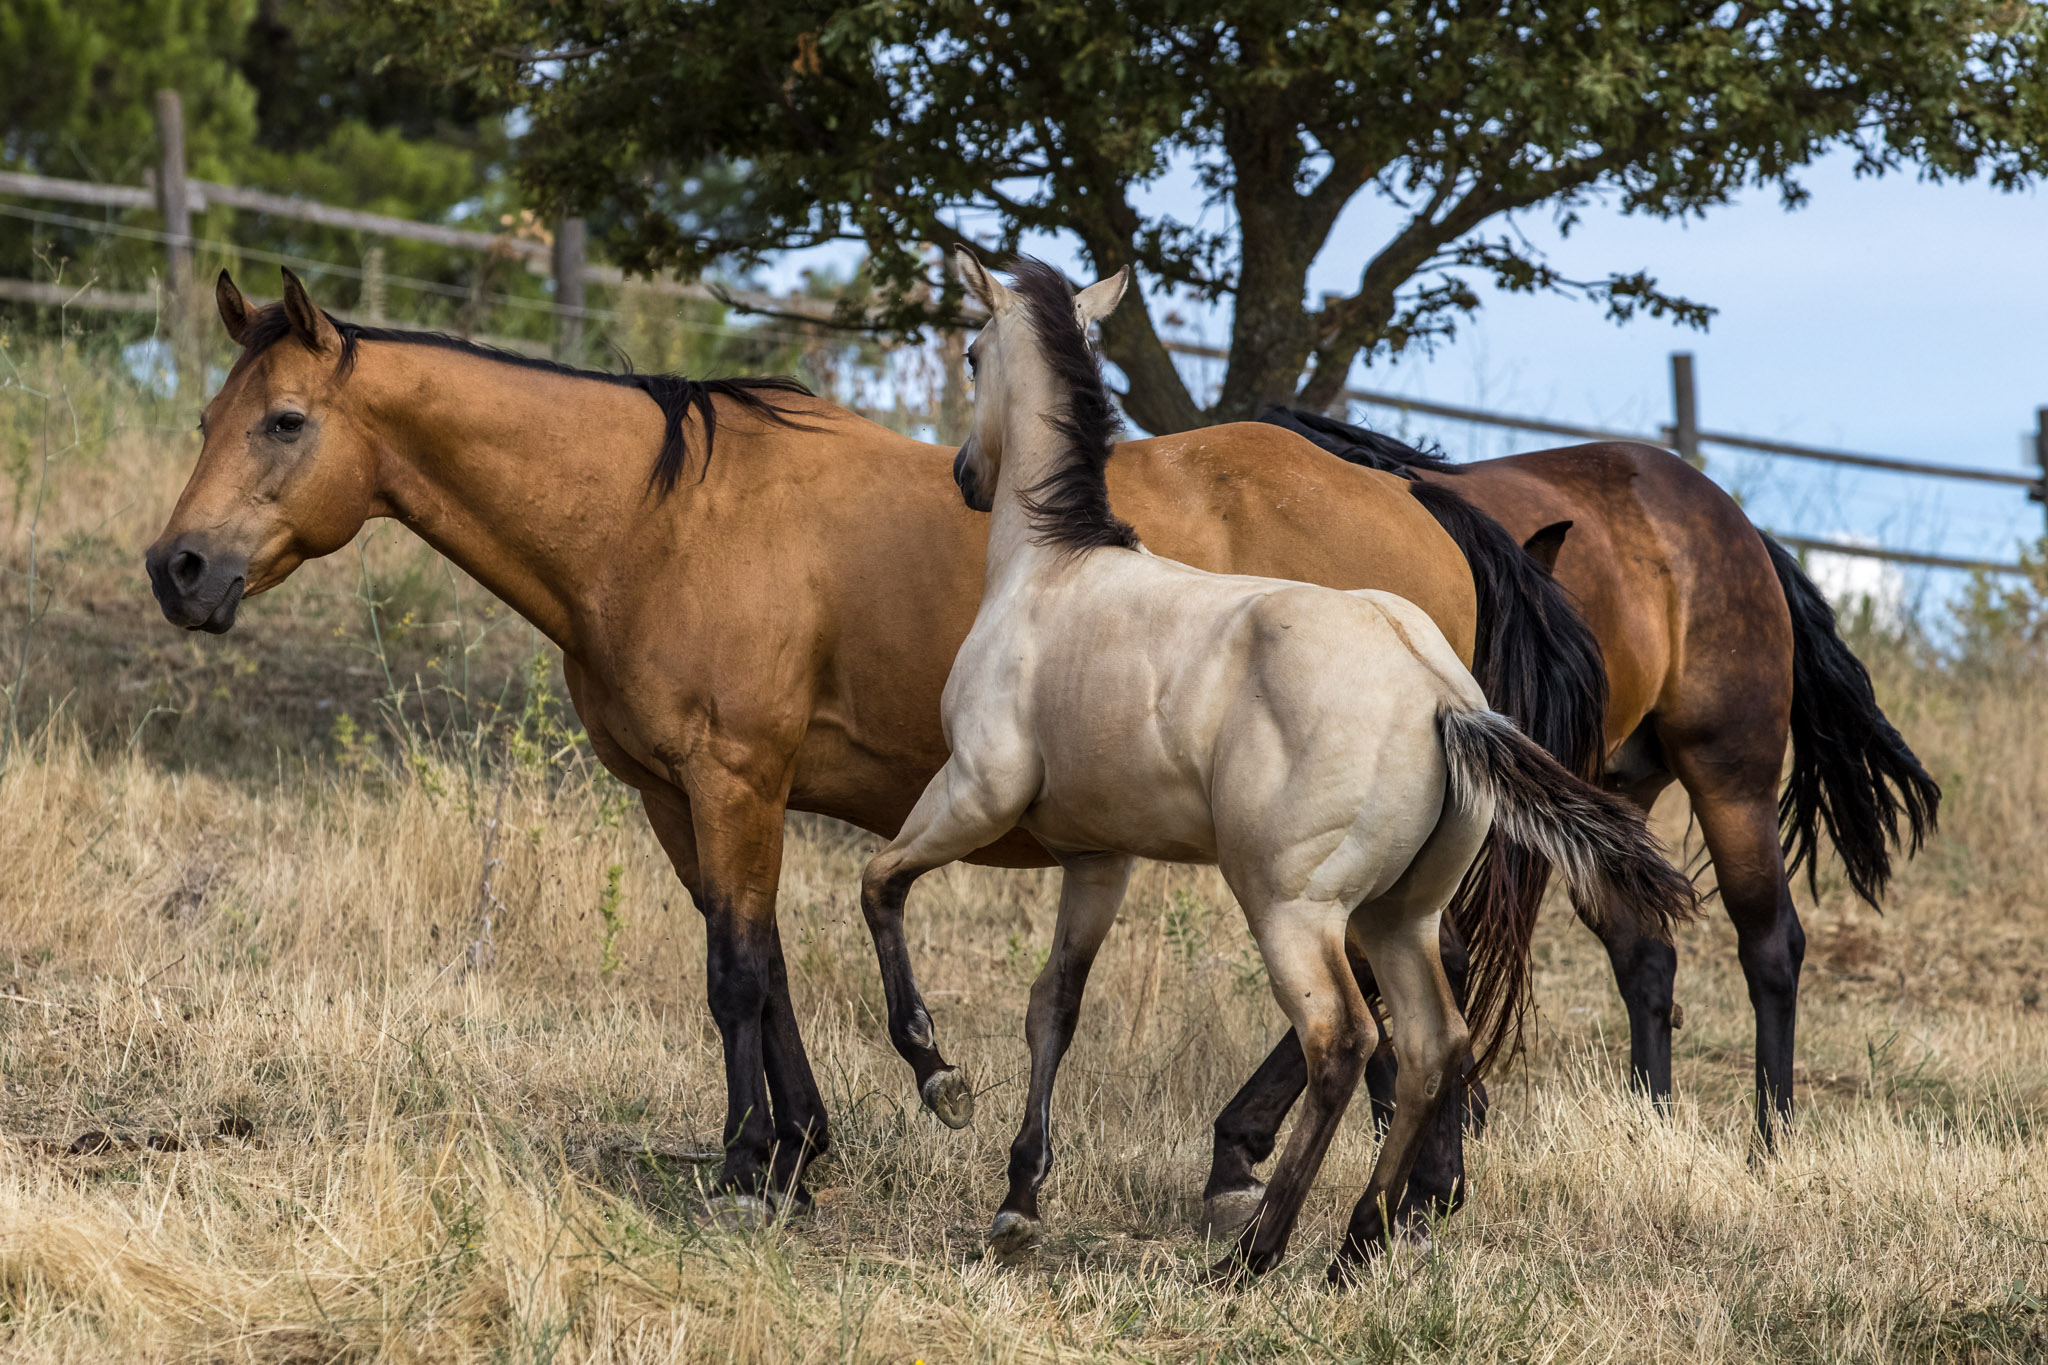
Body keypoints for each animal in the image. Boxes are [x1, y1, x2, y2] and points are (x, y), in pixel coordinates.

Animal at [144, 267, 1604, 1213]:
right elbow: (758, 960)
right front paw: (801, 1147)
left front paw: (753, 1168)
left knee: (1405, 988)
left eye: (284, 422)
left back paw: (1348, 1173)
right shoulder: (679, 795)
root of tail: (1425, 503)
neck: (657, 517)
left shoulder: (735, 778)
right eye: (207, 417)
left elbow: (738, 972)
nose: (180, 568)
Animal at [854, 252, 1695, 1280]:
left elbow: (881, 886)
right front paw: (1019, 1200)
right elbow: (1054, 1003)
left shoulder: (976, 795)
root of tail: (1440, 695)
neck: (1053, 566)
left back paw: (1255, 1251)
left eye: (972, 353)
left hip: (1290, 906)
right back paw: (1360, 1241)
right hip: (1396, 915)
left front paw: (940, 1078)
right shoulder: (1099, 857)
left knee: (1343, 1039)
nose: (968, 476)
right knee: (1434, 1043)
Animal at [1192, 407, 1943, 1238]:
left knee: (1771, 945)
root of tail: (1740, 524)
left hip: (1727, 781)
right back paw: (1645, 1127)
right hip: (1607, 804)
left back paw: (1767, 1143)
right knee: (1646, 951)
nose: (1474, 733)